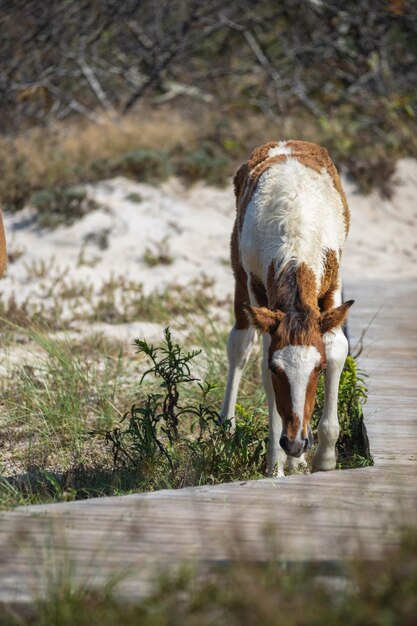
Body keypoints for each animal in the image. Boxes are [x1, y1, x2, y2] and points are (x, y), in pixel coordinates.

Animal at [219, 139, 352, 476]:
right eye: (276, 369)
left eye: (318, 369)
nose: (295, 441)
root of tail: (283, 142)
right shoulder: (258, 291)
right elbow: (262, 369)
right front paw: (275, 465)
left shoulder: (332, 285)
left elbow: (336, 348)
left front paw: (324, 457)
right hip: (238, 273)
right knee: (239, 345)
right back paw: (227, 426)